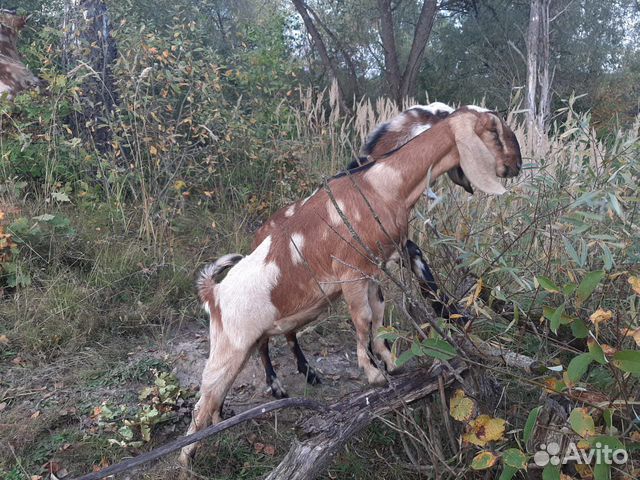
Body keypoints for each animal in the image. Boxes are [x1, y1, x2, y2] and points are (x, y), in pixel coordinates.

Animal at [179, 106, 520, 464]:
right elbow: (362, 318)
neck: (380, 184)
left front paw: (389, 362)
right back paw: (187, 460)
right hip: (229, 346)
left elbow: (379, 315)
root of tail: (213, 293)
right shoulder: (351, 272)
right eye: (495, 131)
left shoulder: (373, 270)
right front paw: (372, 372)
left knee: (218, 394)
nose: (517, 165)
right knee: (204, 399)